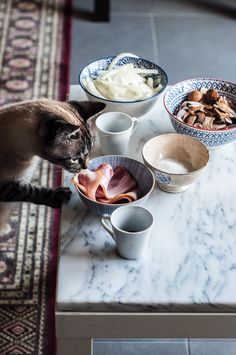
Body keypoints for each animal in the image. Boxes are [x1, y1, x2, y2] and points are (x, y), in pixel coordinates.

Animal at [0, 98, 105, 236]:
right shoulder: (7, 186)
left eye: (89, 151)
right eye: (74, 159)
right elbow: (31, 190)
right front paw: (59, 195)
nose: (85, 167)